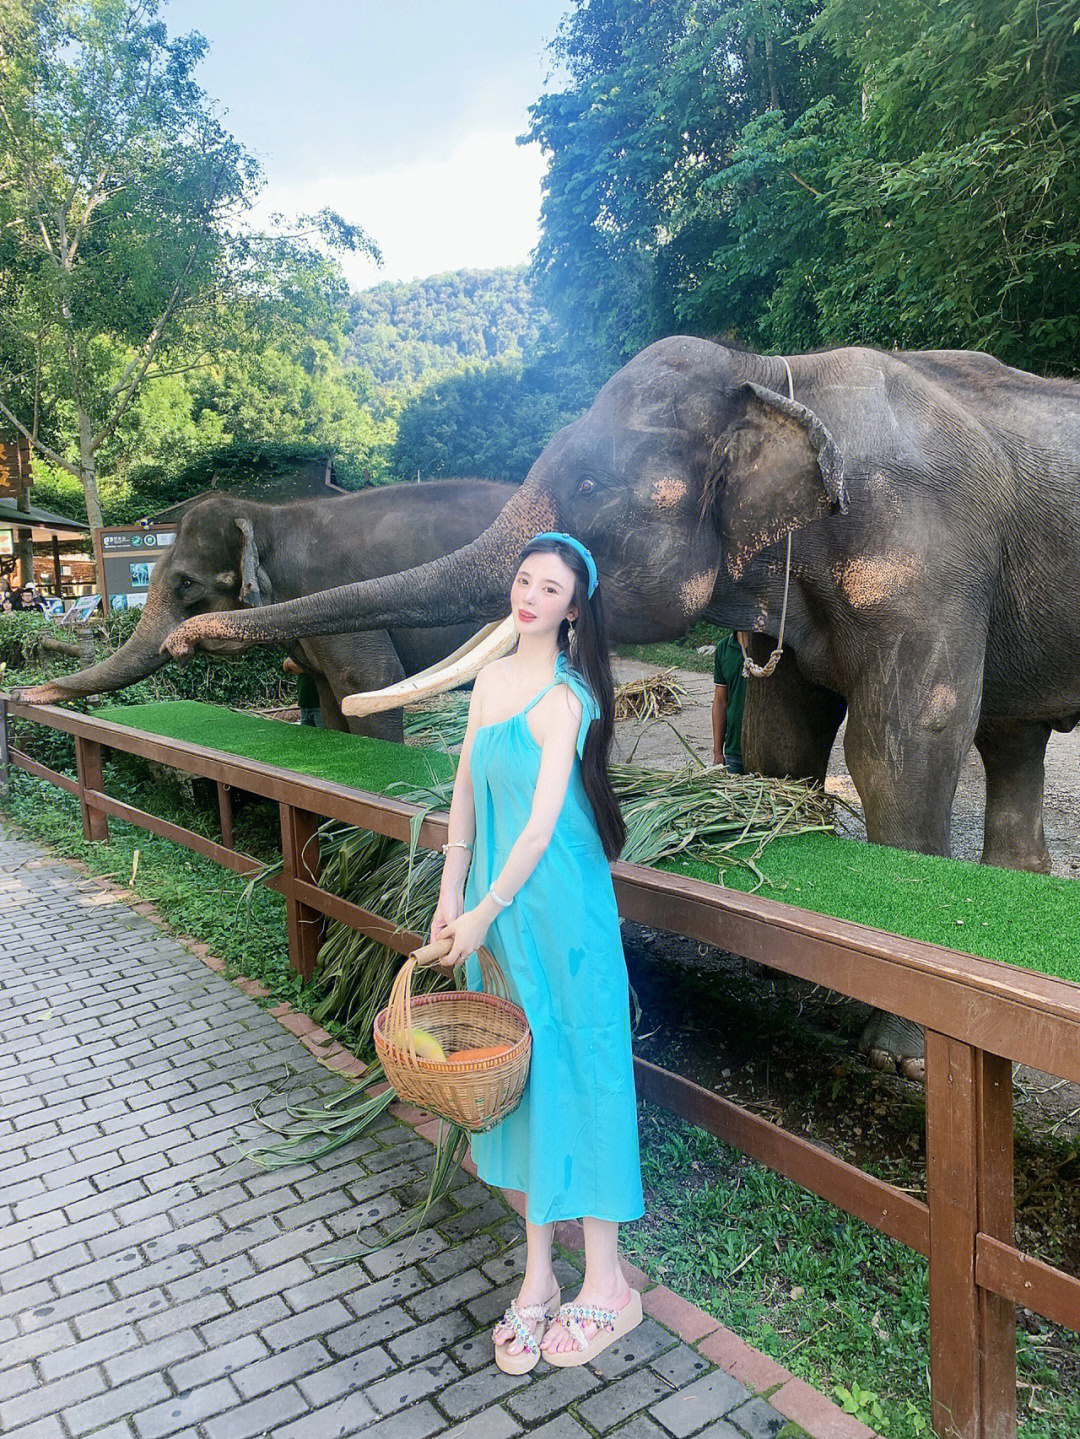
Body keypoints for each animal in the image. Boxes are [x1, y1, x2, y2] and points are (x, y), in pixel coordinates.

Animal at [150, 339, 1080, 1082]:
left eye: (592, 482)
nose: (186, 641)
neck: (774, 370)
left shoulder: (923, 563)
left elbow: (903, 745)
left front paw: (896, 1055)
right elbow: (781, 741)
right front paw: (789, 974)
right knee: (1012, 737)